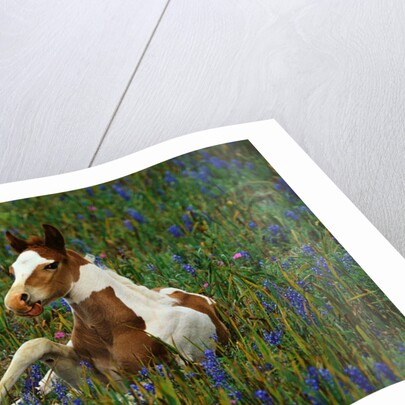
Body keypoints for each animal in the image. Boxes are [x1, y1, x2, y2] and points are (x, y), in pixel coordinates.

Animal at [0, 226, 227, 400]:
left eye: (51, 265)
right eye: (12, 272)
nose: (14, 301)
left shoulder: (156, 377)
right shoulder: (88, 374)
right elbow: (34, 346)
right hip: (50, 378)